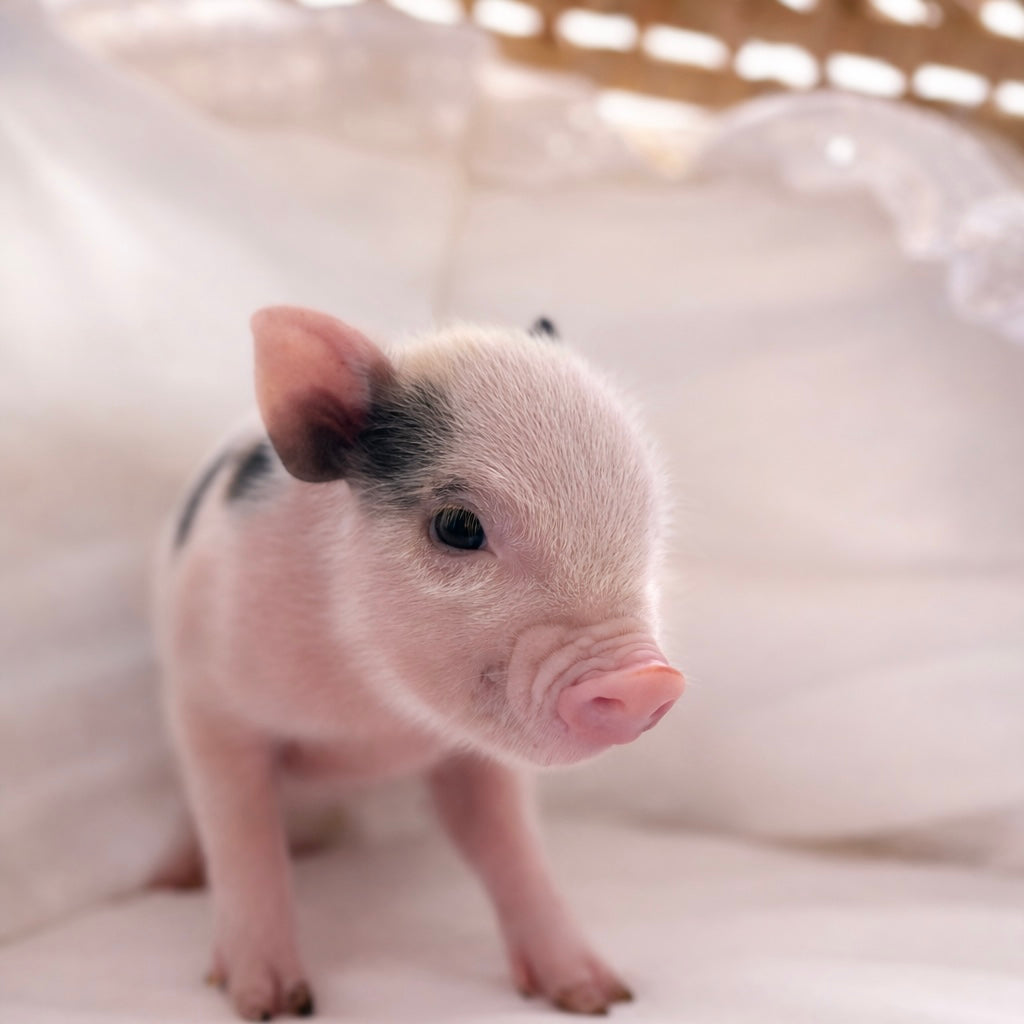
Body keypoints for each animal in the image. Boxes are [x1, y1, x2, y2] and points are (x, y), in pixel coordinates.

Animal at [154, 306, 684, 1021]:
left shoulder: (475, 756)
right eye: (458, 526)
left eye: (650, 526)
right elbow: (242, 839)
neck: (370, 719)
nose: (647, 681)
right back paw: (174, 882)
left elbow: (507, 844)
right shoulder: (210, 701)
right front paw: (271, 1004)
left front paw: (599, 994)